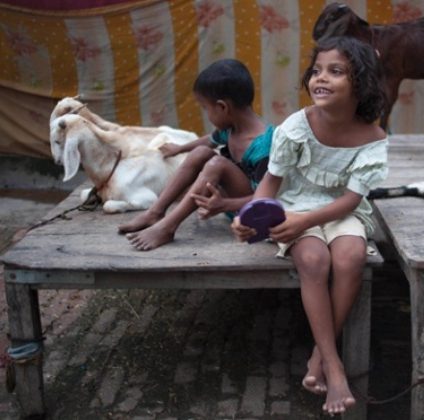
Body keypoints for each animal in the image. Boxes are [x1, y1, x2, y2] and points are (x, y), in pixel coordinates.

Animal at [49, 98, 197, 213]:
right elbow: (83, 195)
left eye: (57, 141)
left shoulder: (148, 198)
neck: (109, 170)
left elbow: (108, 206)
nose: (57, 161)